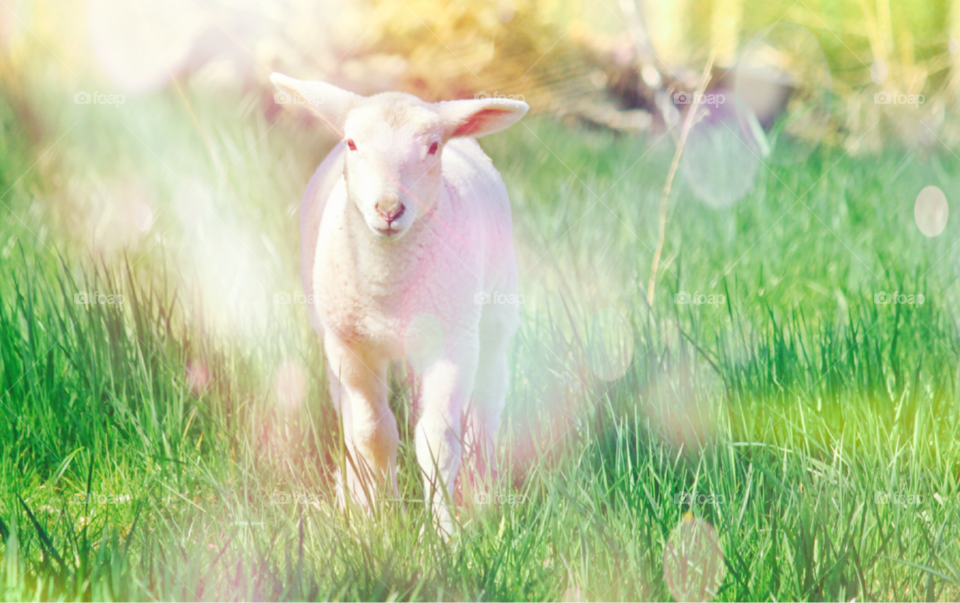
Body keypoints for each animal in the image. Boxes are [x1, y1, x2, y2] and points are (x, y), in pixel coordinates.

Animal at [270, 73, 528, 534]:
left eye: (432, 147)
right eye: (352, 144)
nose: (389, 208)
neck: (387, 289)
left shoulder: (452, 343)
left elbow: (436, 441)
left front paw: (443, 532)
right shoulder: (350, 346)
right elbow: (373, 435)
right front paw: (380, 520)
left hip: (495, 314)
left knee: (488, 401)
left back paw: (482, 494)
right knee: (348, 415)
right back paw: (352, 495)